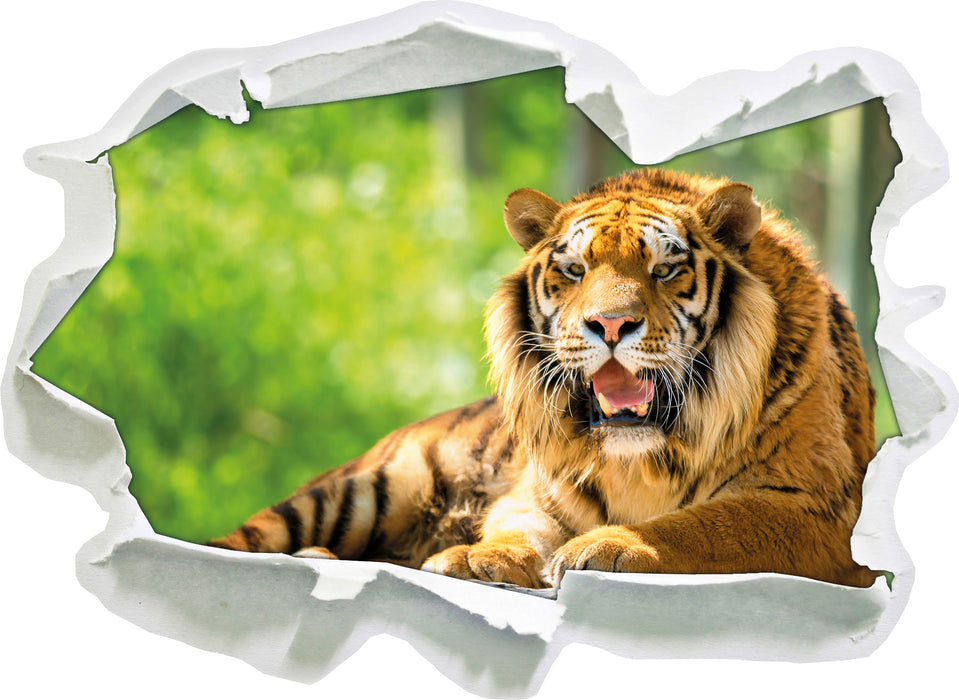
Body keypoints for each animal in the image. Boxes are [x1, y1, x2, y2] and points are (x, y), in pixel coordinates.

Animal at [206, 169, 879, 589]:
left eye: (665, 270)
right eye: (575, 270)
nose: (611, 324)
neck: (643, 459)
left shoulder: (815, 506)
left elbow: (704, 523)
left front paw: (608, 546)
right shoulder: (536, 490)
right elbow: (517, 526)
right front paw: (477, 557)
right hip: (365, 489)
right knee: (237, 541)